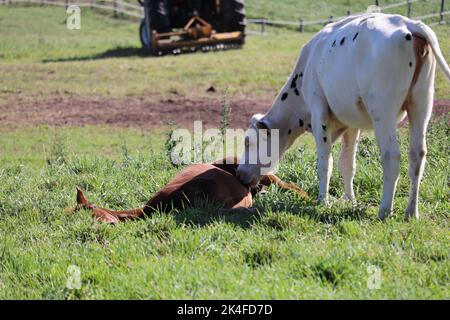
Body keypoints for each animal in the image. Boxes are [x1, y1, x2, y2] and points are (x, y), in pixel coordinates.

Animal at [237, 13, 448, 220]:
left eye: (248, 142)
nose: (238, 173)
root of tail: (409, 24)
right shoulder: (351, 124)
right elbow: (347, 164)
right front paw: (351, 201)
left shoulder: (318, 111)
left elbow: (325, 162)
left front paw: (323, 201)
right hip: (422, 104)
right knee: (417, 155)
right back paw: (411, 212)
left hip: (383, 111)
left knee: (392, 155)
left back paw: (384, 210)